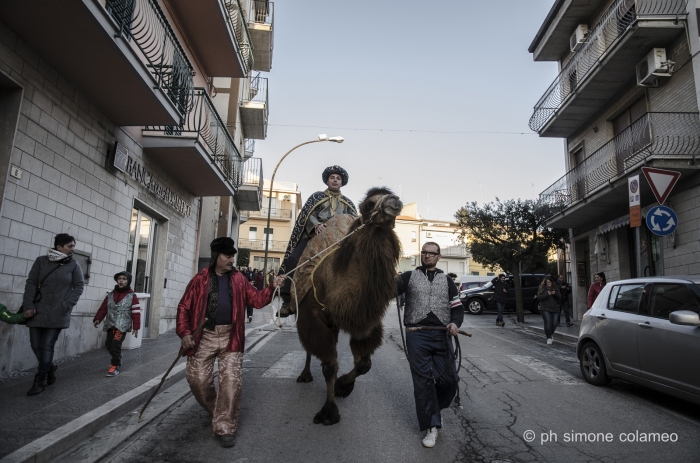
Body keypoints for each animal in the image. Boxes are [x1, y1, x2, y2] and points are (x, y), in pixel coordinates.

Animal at [288, 187, 400, 426]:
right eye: (369, 203)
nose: (394, 201)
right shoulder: (313, 317)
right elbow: (329, 366)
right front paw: (329, 412)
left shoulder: (365, 320)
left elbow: (364, 364)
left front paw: (343, 386)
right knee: (309, 348)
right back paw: (304, 375)